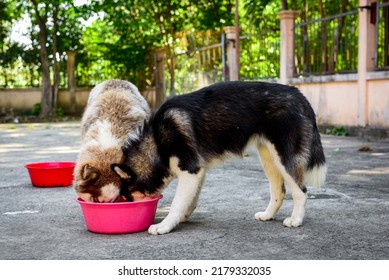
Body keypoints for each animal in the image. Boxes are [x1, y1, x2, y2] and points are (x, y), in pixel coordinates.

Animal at [113, 81, 326, 234]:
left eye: (127, 195)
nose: (126, 204)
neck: (157, 140)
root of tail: (298, 95)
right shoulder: (198, 171)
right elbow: (190, 200)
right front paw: (183, 216)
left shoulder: (190, 170)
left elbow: (176, 204)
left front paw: (165, 225)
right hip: (269, 158)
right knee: (279, 191)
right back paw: (267, 215)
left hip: (284, 158)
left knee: (301, 191)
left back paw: (296, 220)